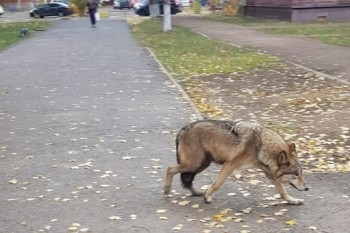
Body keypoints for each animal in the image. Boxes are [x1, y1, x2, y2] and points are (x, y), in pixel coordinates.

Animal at [165, 120, 308, 206]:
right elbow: (217, 184)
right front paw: (206, 197)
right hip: (194, 164)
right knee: (170, 169)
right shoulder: (229, 165)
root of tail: (182, 130)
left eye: (301, 173)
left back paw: (196, 193)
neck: (261, 145)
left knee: (187, 179)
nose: (307, 188)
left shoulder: (271, 175)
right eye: (296, 174)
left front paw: (293, 201)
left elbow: (283, 192)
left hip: (200, 165)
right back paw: (167, 190)